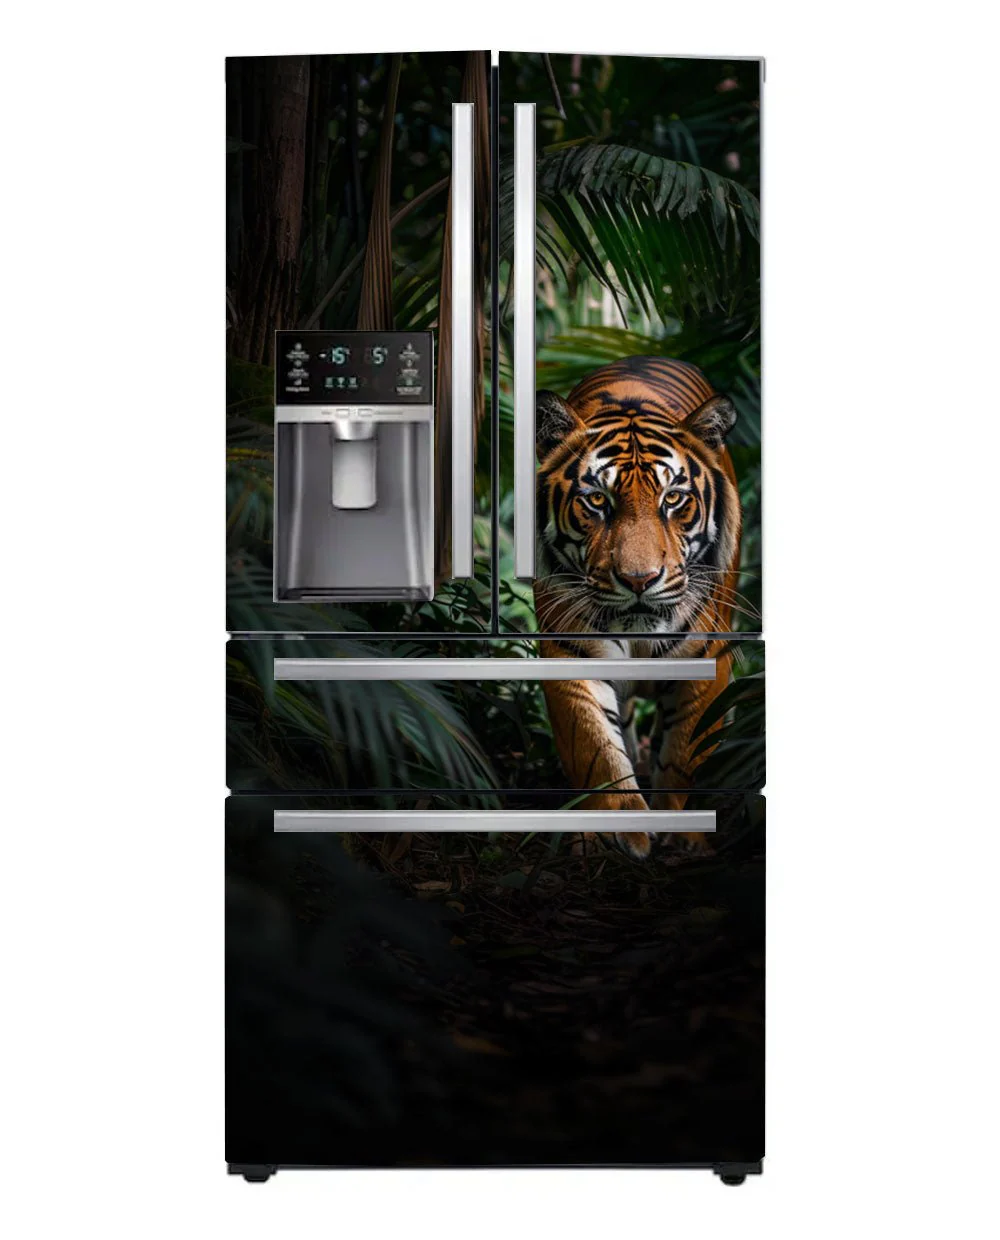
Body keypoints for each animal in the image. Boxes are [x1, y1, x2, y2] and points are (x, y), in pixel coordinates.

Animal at [532, 356, 743, 861]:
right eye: (597, 500)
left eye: (673, 499)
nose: (639, 580)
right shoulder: (570, 654)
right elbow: (596, 749)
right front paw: (622, 831)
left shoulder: (705, 661)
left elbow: (684, 752)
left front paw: (683, 836)